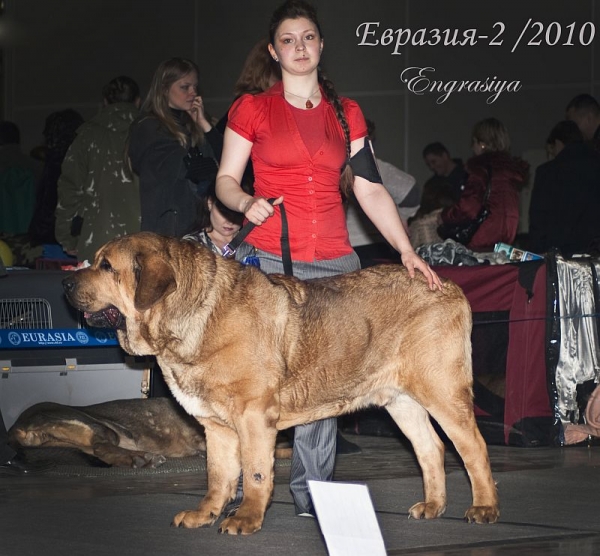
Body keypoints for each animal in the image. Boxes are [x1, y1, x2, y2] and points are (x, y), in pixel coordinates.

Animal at [63, 232, 500, 536]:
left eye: (106, 266)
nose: (67, 284)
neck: (193, 314)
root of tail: (447, 284)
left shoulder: (253, 416)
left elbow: (256, 472)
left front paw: (246, 519)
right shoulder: (217, 427)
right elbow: (218, 476)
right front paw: (205, 514)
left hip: (442, 392)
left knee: (473, 448)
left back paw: (483, 508)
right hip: (401, 402)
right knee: (431, 449)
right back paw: (432, 506)